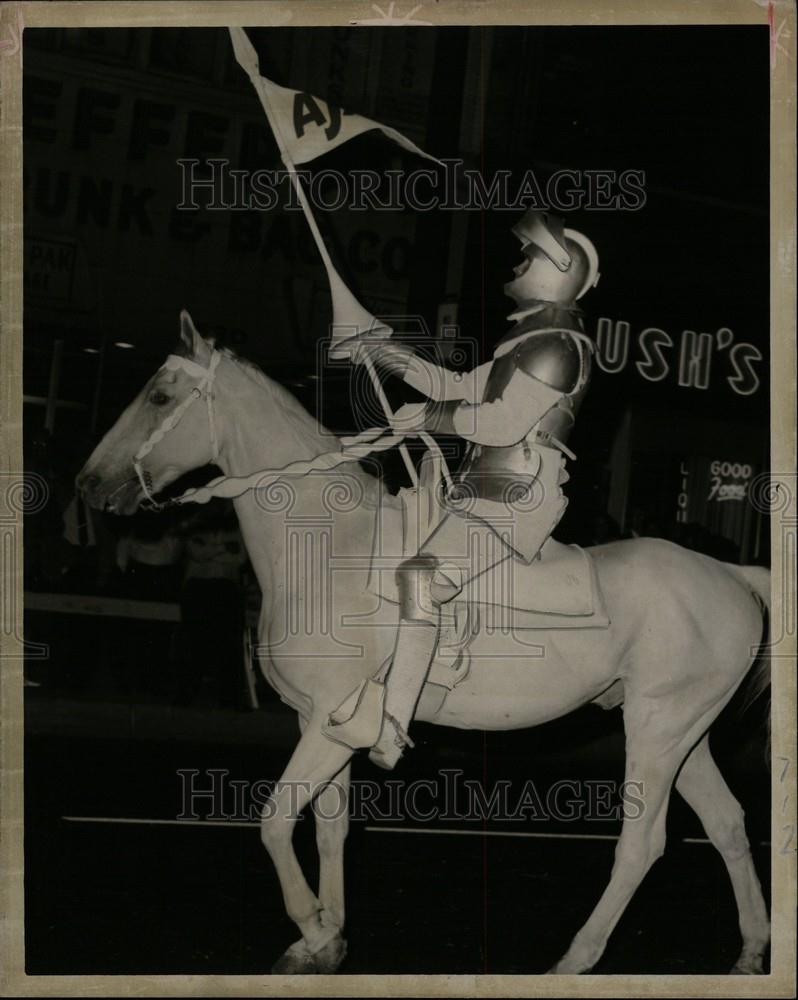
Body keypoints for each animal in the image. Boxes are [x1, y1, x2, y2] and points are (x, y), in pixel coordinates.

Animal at [78, 316, 772, 972]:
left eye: (160, 396)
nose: (88, 485)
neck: (326, 549)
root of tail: (732, 574)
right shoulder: (321, 724)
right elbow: (330, 828)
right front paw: (327, 941)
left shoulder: (331, 722)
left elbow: (275, 823)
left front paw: (314, 931)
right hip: (683, 734)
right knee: (727, 823)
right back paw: (751, 950)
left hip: (657, 729)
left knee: (642, 844)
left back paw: (574, 960)